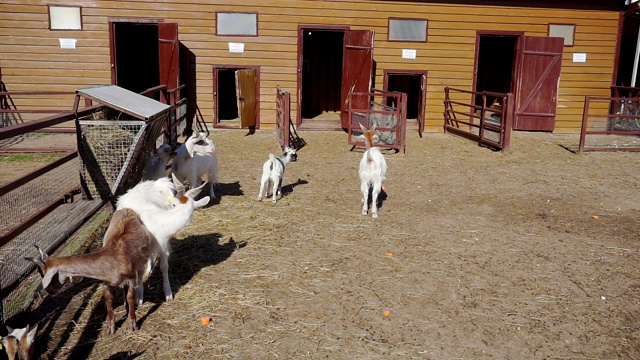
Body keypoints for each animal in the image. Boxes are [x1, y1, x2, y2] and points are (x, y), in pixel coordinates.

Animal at [26, 208, 159, 334]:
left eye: (48, 276)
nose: (49, 291)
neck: (114, 256)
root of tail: (126, 209)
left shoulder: (131, 277)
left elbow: (130, 297)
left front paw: (133, 323)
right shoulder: (105, 280)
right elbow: (108, 298)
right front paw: (111, 326)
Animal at [114, 174, 206, 304]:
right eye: (173, 205)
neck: (157, 220)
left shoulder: (163, 245)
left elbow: (164, 267)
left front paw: (168, 293)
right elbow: (139, 270)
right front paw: (139, 297)